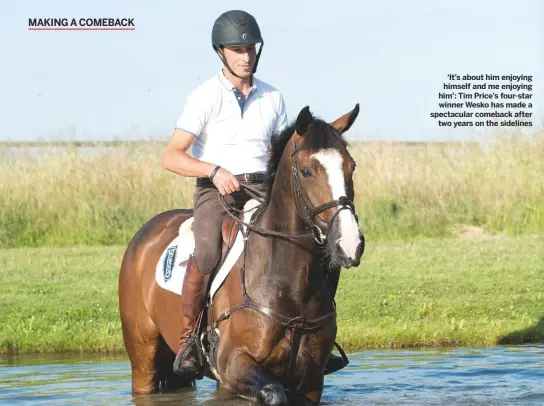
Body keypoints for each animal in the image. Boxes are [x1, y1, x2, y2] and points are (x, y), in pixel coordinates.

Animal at [119, 103, 366, 404]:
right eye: (307, 170)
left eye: (351, 167)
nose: (350, 243)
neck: (288, 283)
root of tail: (144, 235)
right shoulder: (234, 363)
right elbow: (273, 393)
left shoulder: (311, 380)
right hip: (143, 357)